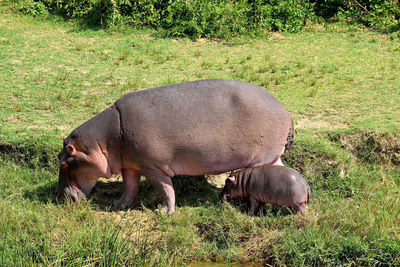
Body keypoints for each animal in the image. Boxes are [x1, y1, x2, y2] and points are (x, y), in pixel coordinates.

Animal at [56, 78, 294, 215]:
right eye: (59, 159)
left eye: (64, 164)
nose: (59, 198)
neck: (103, 140)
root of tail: (284, 109)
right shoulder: (130, 164)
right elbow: (130, 187)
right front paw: (118, 204)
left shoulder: (153, 166)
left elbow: (165, 188)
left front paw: (163, 212)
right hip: (273, 156)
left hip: (261, 158)